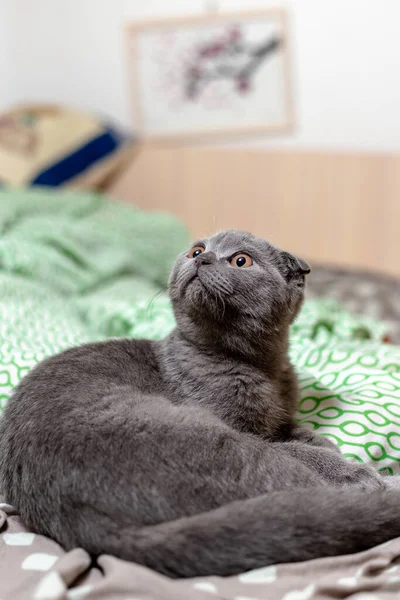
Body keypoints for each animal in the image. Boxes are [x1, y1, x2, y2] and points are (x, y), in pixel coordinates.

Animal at [0, 230, 400, 576]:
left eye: (240, 260)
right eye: (196, 250)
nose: (202, 258)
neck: (256, 366)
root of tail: (82, 525)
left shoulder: (274, 416)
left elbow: (295, 428)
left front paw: (321, 438)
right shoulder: (241, 427)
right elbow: (295, 448)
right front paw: (338, 458)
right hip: (216, 443)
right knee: (293, 481)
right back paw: (373, 481)